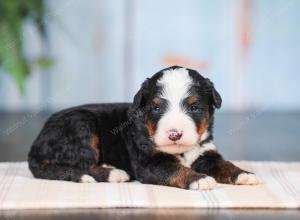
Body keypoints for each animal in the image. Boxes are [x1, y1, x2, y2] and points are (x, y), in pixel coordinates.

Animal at [28, 66, 260, 190]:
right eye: (156, 108)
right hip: (81, 124)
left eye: (194, 107)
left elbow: (224, 164)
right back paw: (112, 173)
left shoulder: (205, 153)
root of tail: (35, 146)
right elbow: (175, 169)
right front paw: (199, 179)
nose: (174, 134)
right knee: (77, 165)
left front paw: (245, 174)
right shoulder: (149, 163)